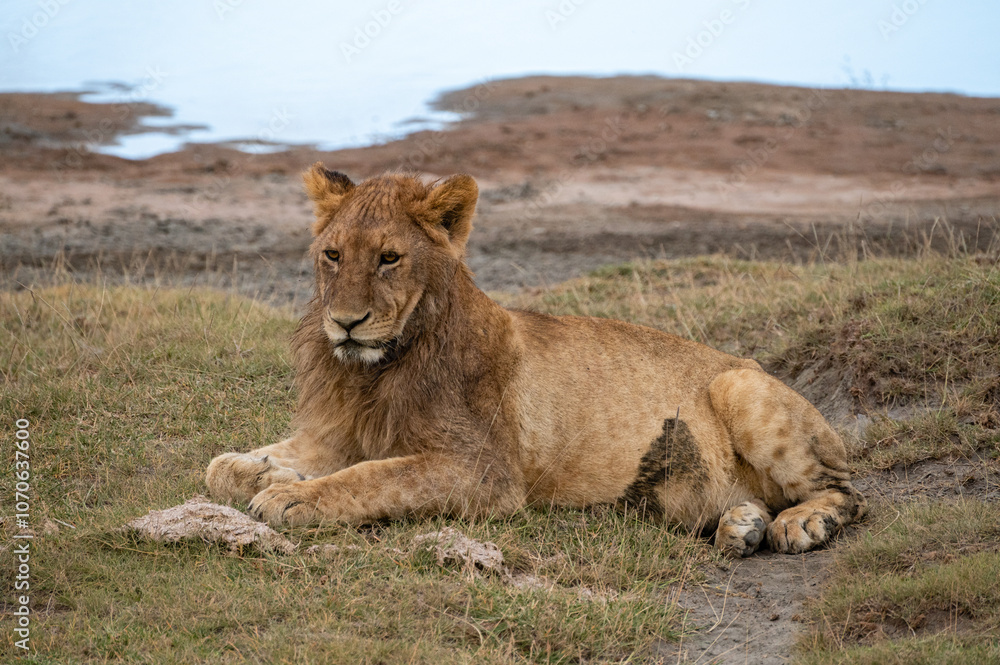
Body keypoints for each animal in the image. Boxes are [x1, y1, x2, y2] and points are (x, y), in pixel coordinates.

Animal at [205, 164, 866, 556]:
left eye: (389, 258)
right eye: (333, 255)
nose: (346, 322)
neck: (373, 372)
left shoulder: (485, 473)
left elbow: (375, 477)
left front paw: (291, 497)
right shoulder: (337, 434)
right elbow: (220, 467)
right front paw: (266, 473)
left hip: (740, 386)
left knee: (847, 491)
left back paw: (801, 524)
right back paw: (741, 525)